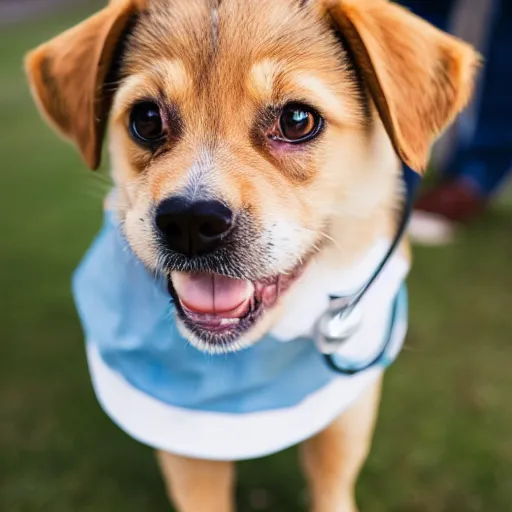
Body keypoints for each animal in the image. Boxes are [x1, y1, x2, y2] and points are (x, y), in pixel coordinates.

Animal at [25, 2, 480, 510]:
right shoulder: (188, 450)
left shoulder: (347, 414)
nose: (190, 222)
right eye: (146, 118)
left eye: (298, 120)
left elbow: (332, 486)